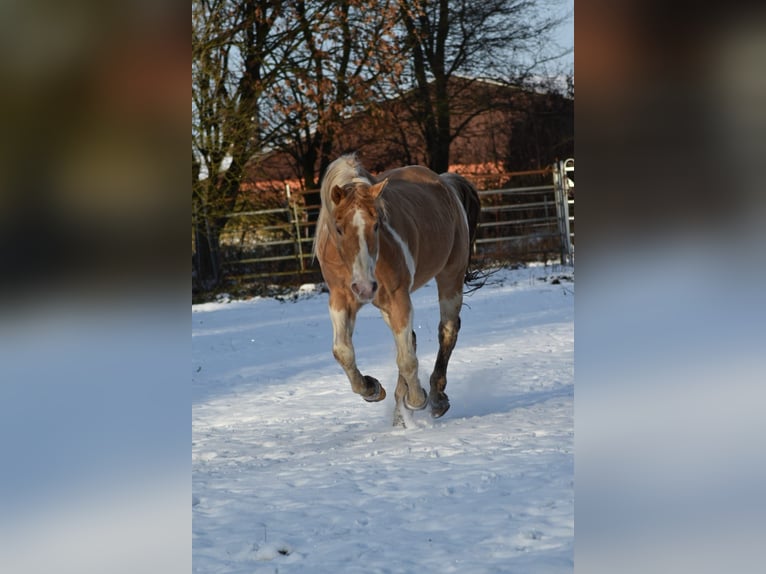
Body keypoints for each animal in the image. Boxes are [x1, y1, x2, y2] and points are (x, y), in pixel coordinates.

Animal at [313, 153, 481, 426]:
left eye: (377, 225)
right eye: (338, 228)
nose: (364, 287)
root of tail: (445, 182)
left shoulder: (397, 297)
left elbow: (407, 360)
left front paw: (417, 399)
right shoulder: (341, 299)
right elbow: (343, 352)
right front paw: (371, 388)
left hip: (450, 276)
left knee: (447, 332)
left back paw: (436, 399)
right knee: (412, 339)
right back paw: (400, 415)